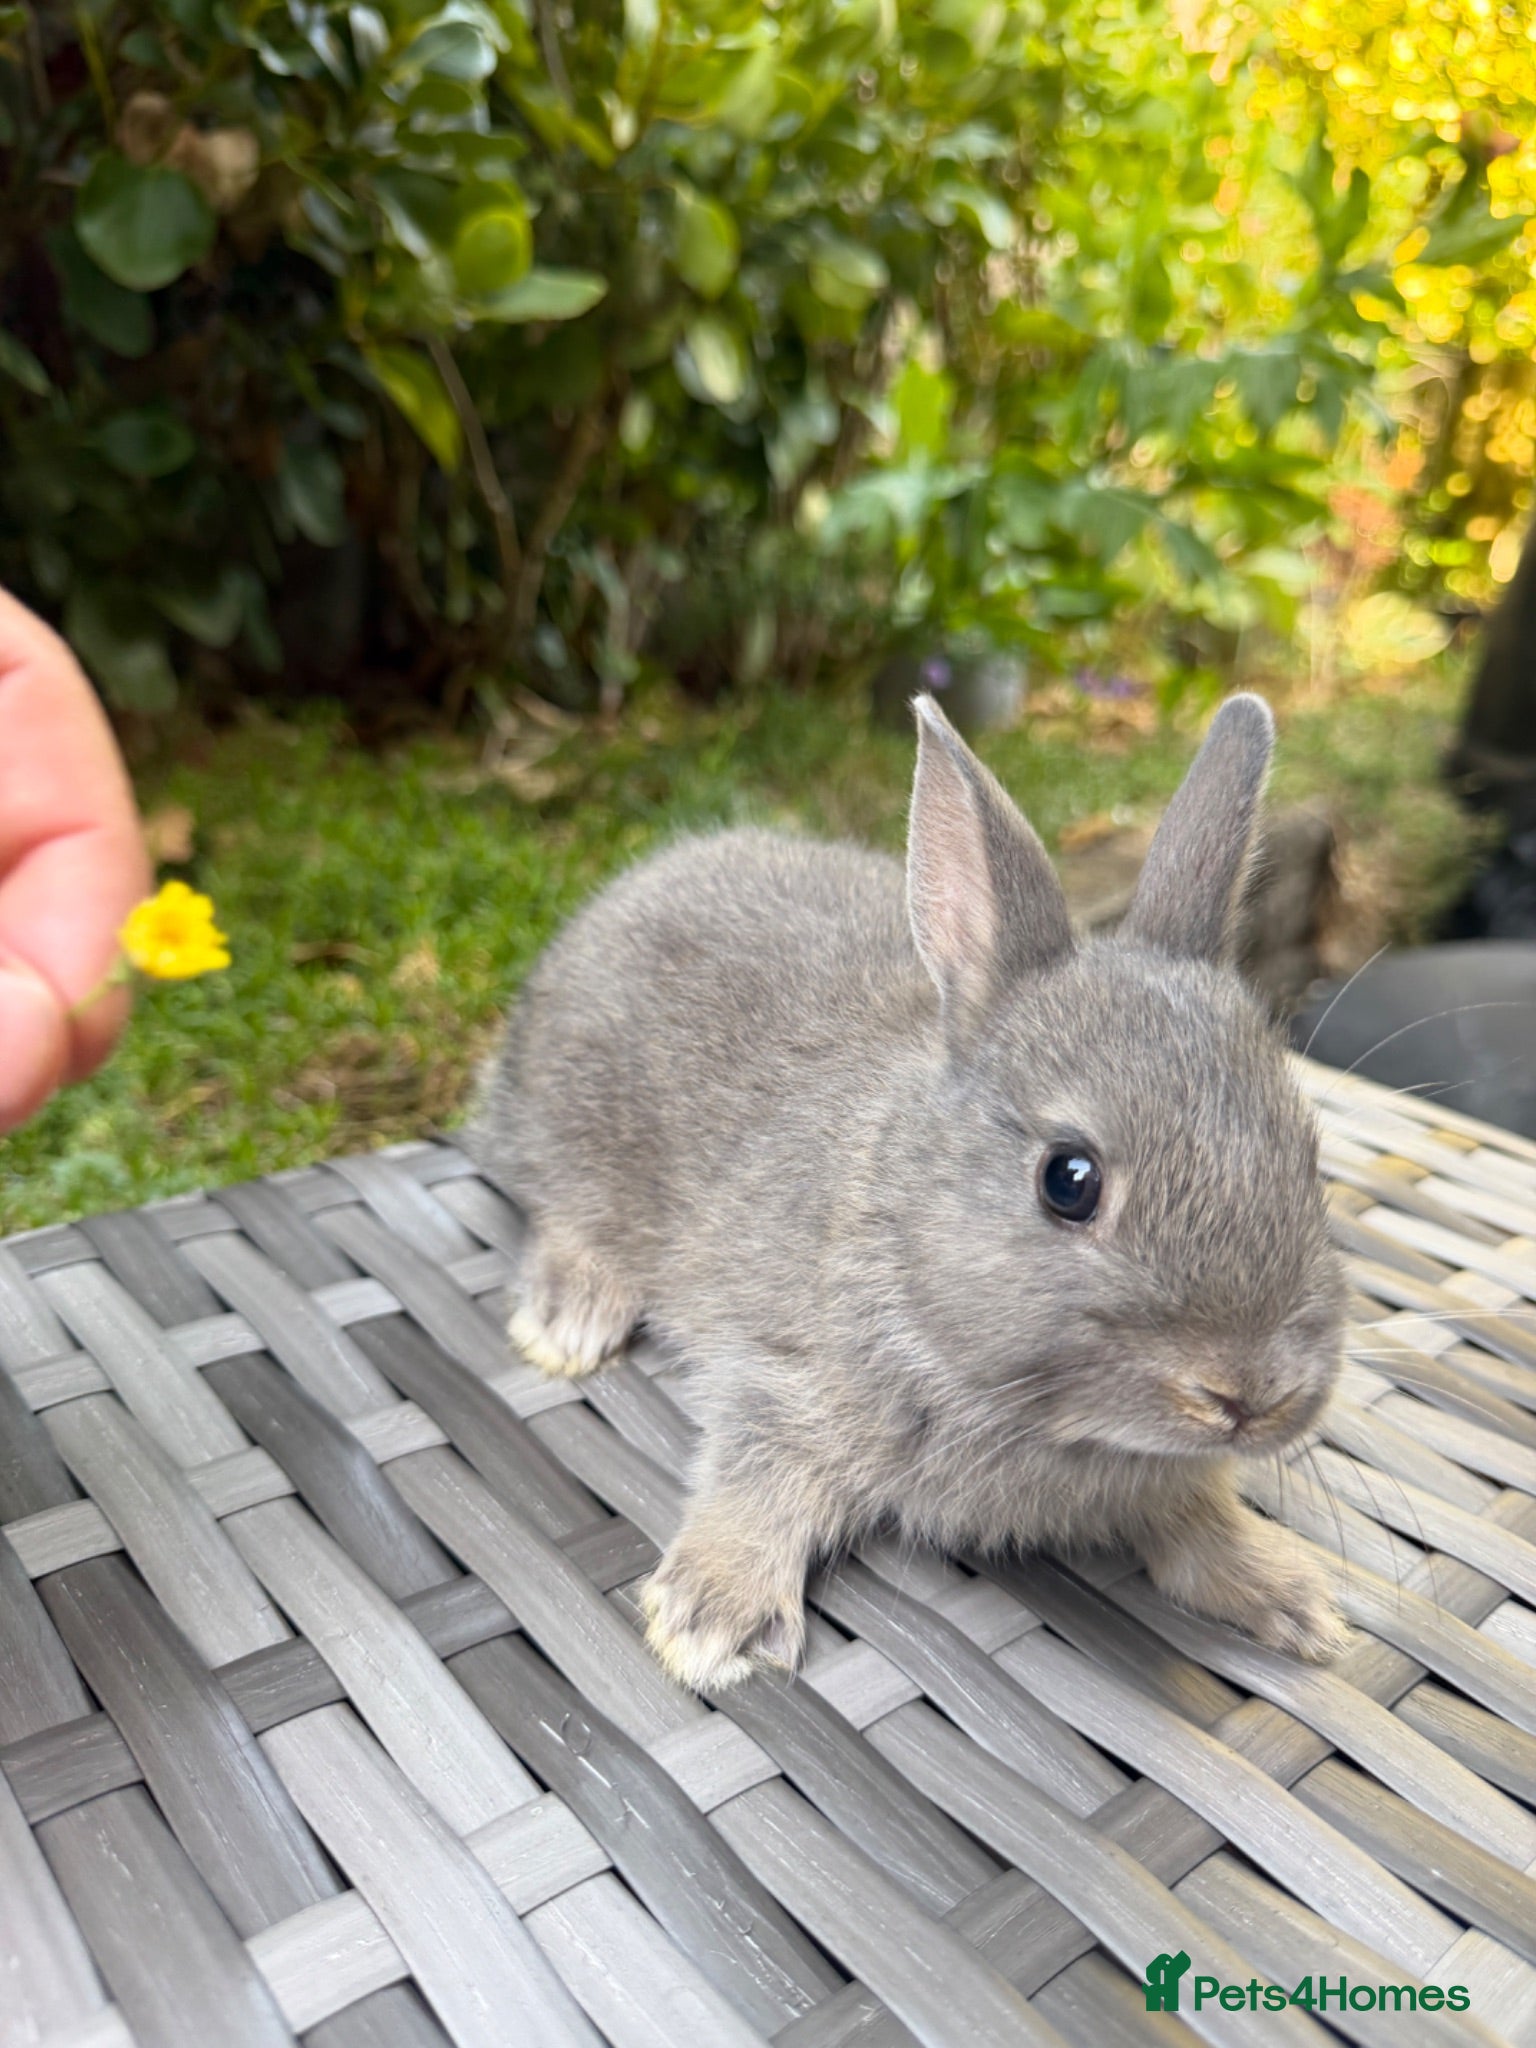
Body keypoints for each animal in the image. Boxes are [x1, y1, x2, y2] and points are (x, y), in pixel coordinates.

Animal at [468, 691, 1349, 1692]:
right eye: (1069, 1180)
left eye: (1308, 1155)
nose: (1250, 1395)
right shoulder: (778, 1373)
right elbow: (756, 1469)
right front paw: (714, 1618)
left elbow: (1195, 1519)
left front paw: (1289, 1593)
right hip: (577, 1125)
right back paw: (569, 1319)